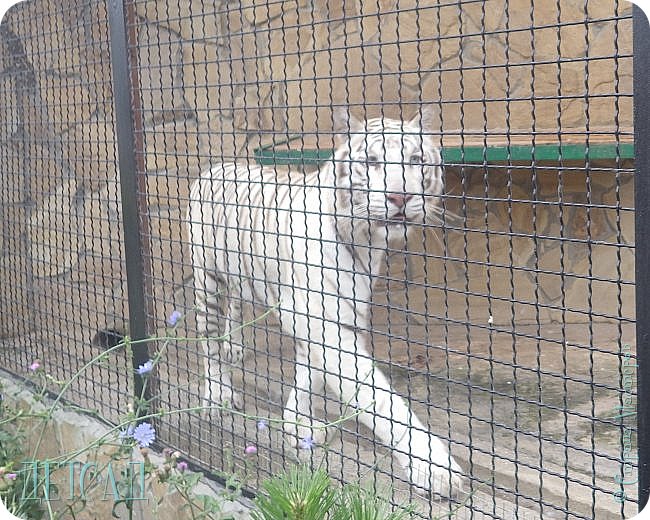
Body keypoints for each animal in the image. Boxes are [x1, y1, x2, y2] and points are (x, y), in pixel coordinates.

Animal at [185, 108, 464, 496]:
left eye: (416, 160)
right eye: (372, 161)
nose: (399, 198)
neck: (366, 240)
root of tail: (214, 167)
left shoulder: (338, 314)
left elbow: (310, 376)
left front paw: (298, 425)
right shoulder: (319, 320)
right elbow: (380, 399)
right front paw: (435, 467)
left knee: (237, 306)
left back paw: (235, 347)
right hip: (207, 279)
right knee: (208, 343)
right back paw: (219, 396)